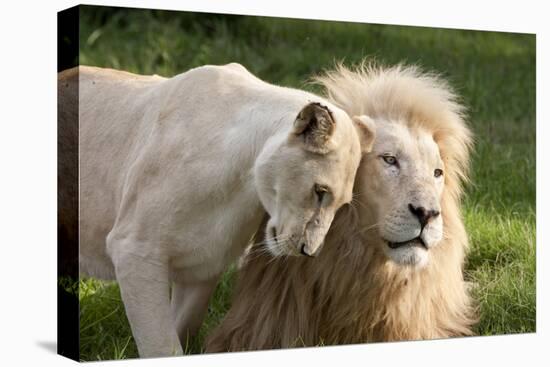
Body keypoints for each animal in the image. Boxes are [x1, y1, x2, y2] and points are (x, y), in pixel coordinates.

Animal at [60, 64, 378, 360]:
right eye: (320, 192)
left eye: (341, 205)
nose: (308, 252)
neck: (243, 185)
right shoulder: (135, 250)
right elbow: (161, 345)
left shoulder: (204, 265)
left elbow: (182, 329)